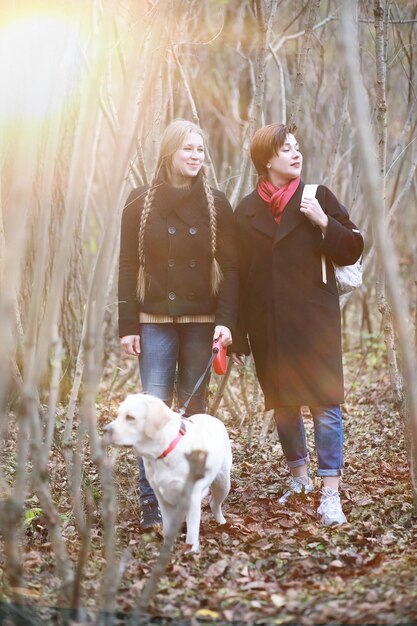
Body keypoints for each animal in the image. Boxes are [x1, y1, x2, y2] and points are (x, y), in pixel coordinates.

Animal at [104, 392, 232, 548]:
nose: (105, 430)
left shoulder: (192, 497)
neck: (164, 451)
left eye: (130, 417)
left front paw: (190, 551)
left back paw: (223, 524)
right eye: (118, 415)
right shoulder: (162, 498)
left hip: (223, 483)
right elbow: (168, 530)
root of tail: (213, 418)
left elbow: (192, 534)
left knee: (214, 504)